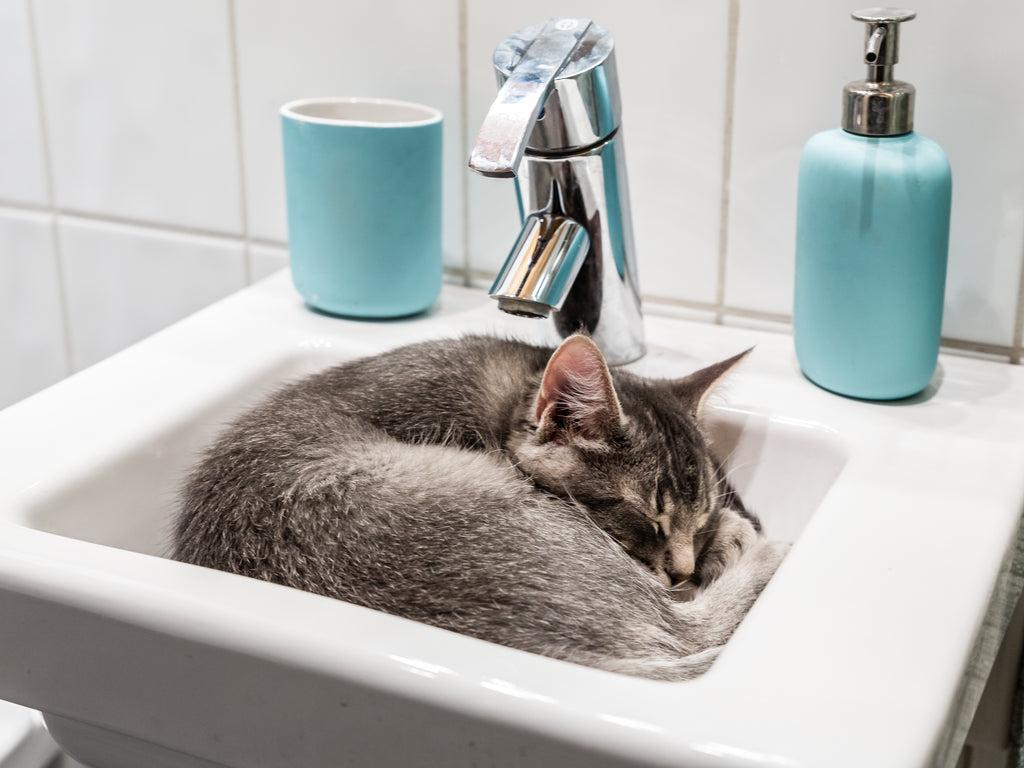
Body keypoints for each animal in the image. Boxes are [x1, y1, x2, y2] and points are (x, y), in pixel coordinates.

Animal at [174, 333, 782, 684]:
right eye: (648, 518)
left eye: (696, 520)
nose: (682, 570)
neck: (506, 391)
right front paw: (736, 534)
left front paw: (724, 531)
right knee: (688, 626)